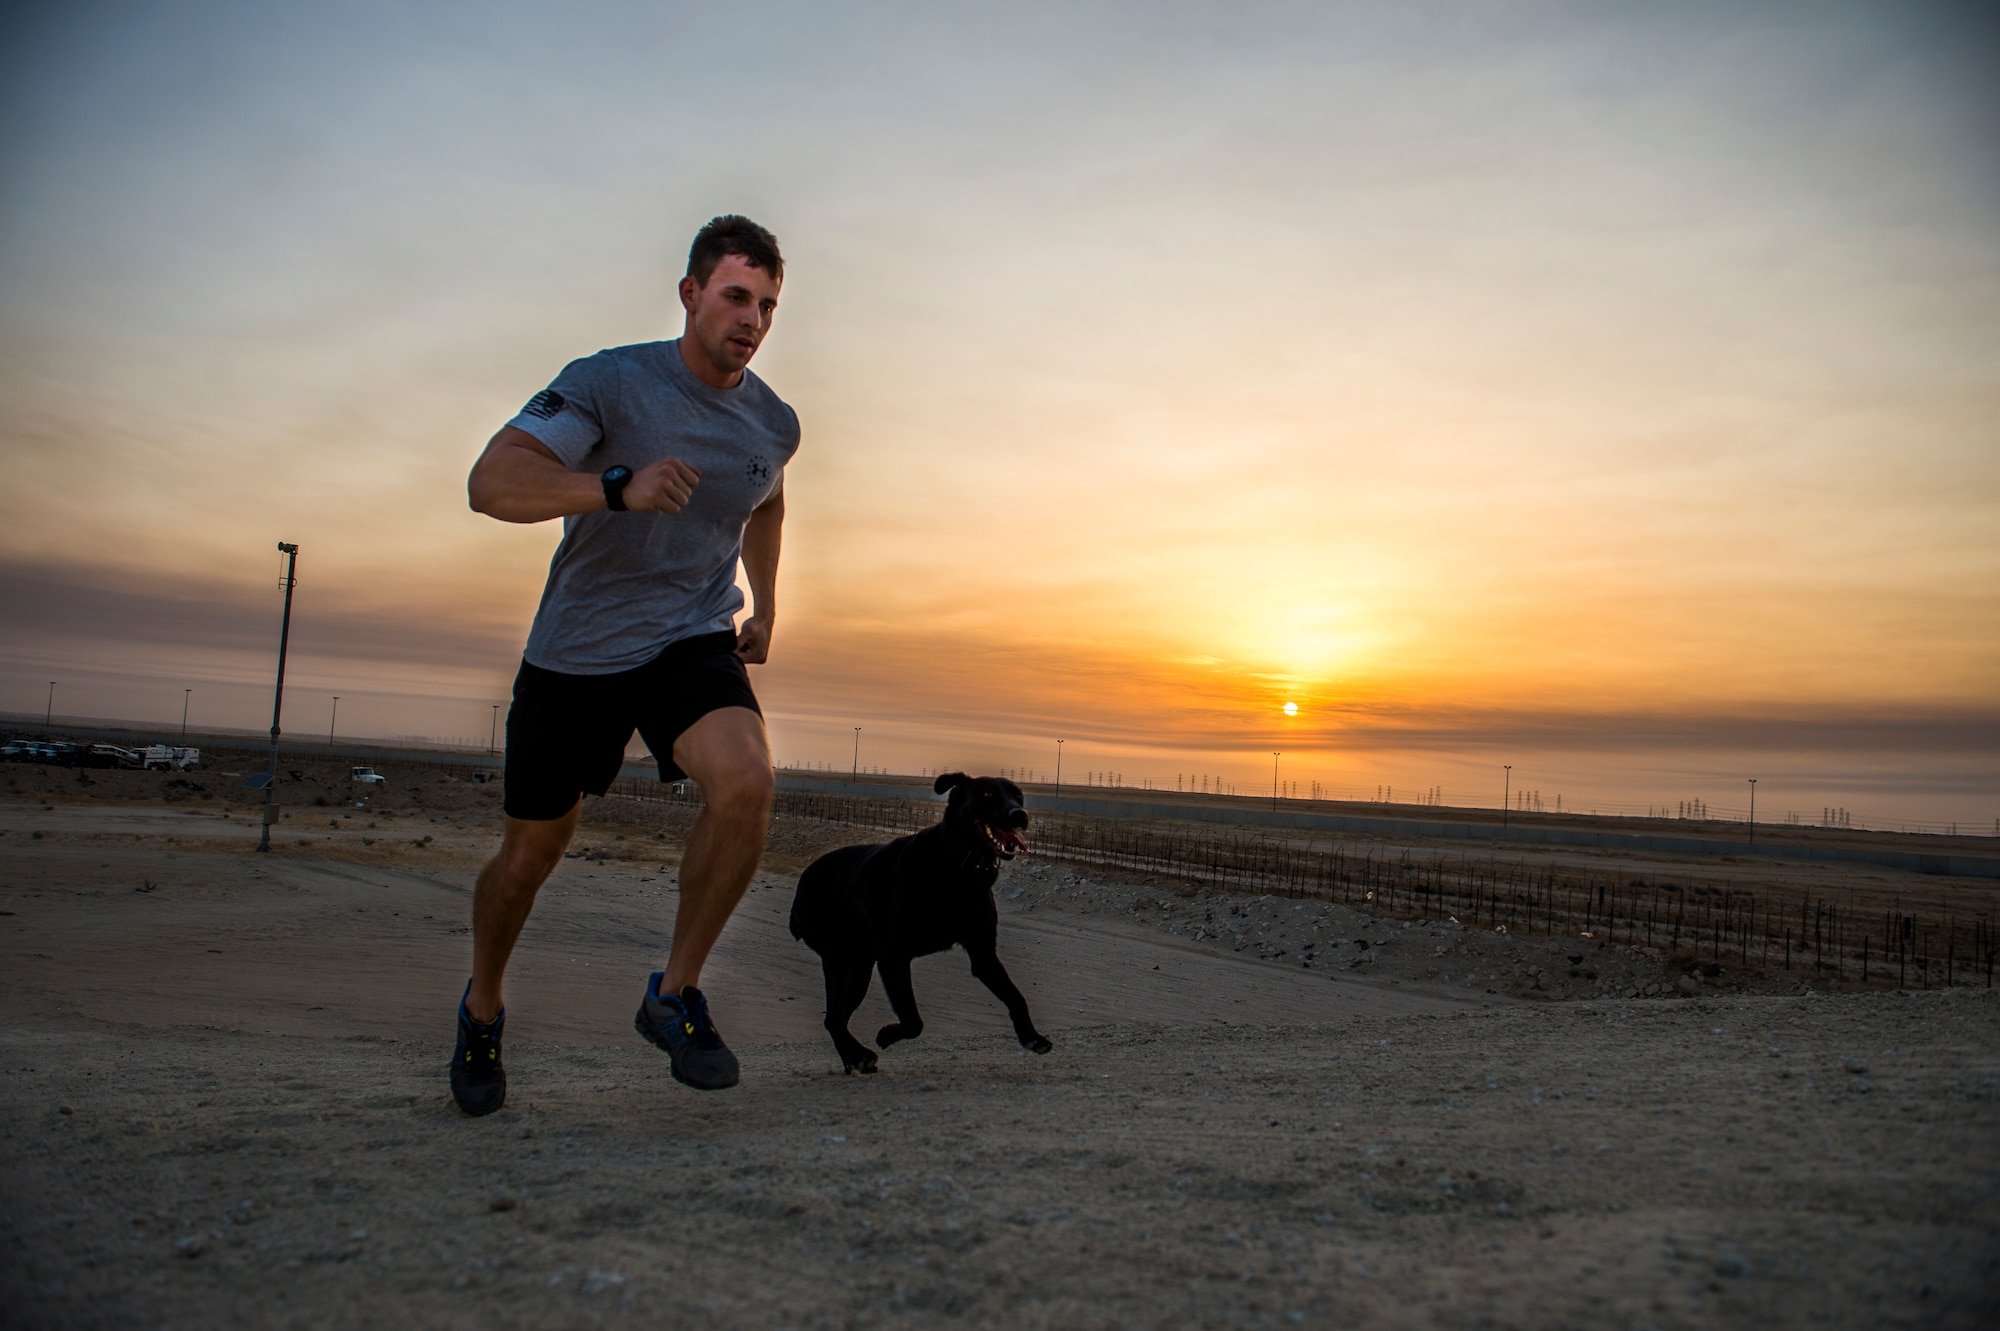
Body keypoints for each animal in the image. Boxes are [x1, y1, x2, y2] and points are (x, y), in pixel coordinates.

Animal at [788, 771, 1056, 1071]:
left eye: (1018, 796)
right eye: (988, 794)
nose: (1020, 814)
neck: (958, 867)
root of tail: (802, 884)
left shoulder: (983, 955)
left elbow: (1016, 997)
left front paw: (1031, 1036)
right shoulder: (893, 955)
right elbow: (913, 1019)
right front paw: (888, 1034)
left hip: (859, 967)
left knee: (837, 1019)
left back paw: (853, 1059)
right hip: (838, 956)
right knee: (834, 1017)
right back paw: (859, 1055)